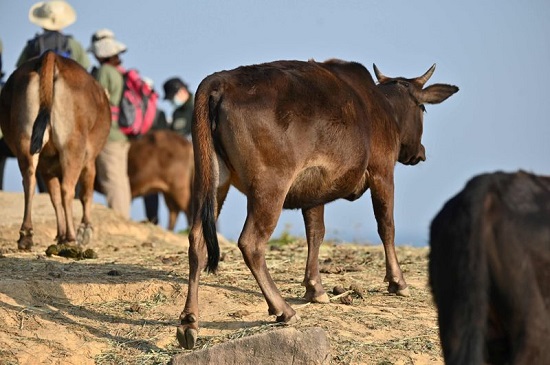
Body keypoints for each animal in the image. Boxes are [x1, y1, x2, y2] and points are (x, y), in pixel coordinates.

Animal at [0, 51, 111, 249]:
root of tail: (51, 56)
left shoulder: (47, 168)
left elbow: (54, 197)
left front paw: (61, 235)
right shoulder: (90, 160)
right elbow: (85, 194)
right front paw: (84, 230)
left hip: (25, 140)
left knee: (29, 181)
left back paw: (26, 235)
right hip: (72, 146)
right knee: (68, 189)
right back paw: (73, 237)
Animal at [179, 58, 460, 348]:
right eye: (422, 108)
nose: (420, 152)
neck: (382, 106)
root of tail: (220, 80)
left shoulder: (314, 189)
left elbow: (316, 233)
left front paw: (315, 288)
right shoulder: (382, 171)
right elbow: (386, 226)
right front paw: (398, 282)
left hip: (213, 181)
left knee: (198, 240)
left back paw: (190, 321)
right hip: (269, 186)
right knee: (251, 243)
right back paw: (283, 310)